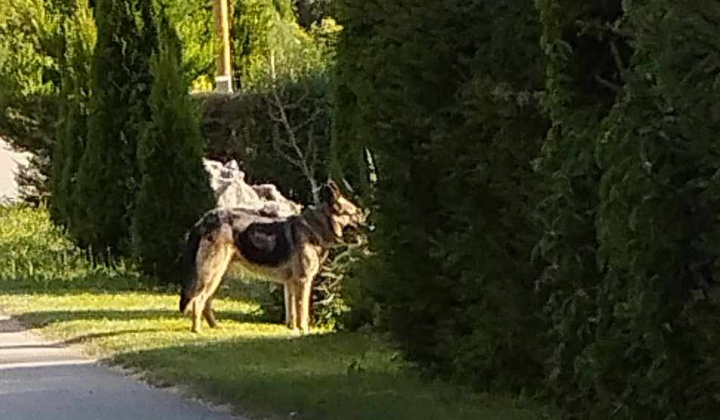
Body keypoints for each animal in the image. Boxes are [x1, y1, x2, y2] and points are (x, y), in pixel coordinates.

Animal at [177, 180, 362, 334]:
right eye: (355, 213)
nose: (367, 221)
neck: (315, 227)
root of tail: (205, 219)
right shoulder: (303, 281)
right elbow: (302, 310)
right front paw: (304, 331)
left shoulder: (290, 284)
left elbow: (292, 312)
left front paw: (292, 330)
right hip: (212, 272)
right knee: (198, 300)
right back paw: (197, 330)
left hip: (219, 273)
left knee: (206, 300)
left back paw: (214, 326)